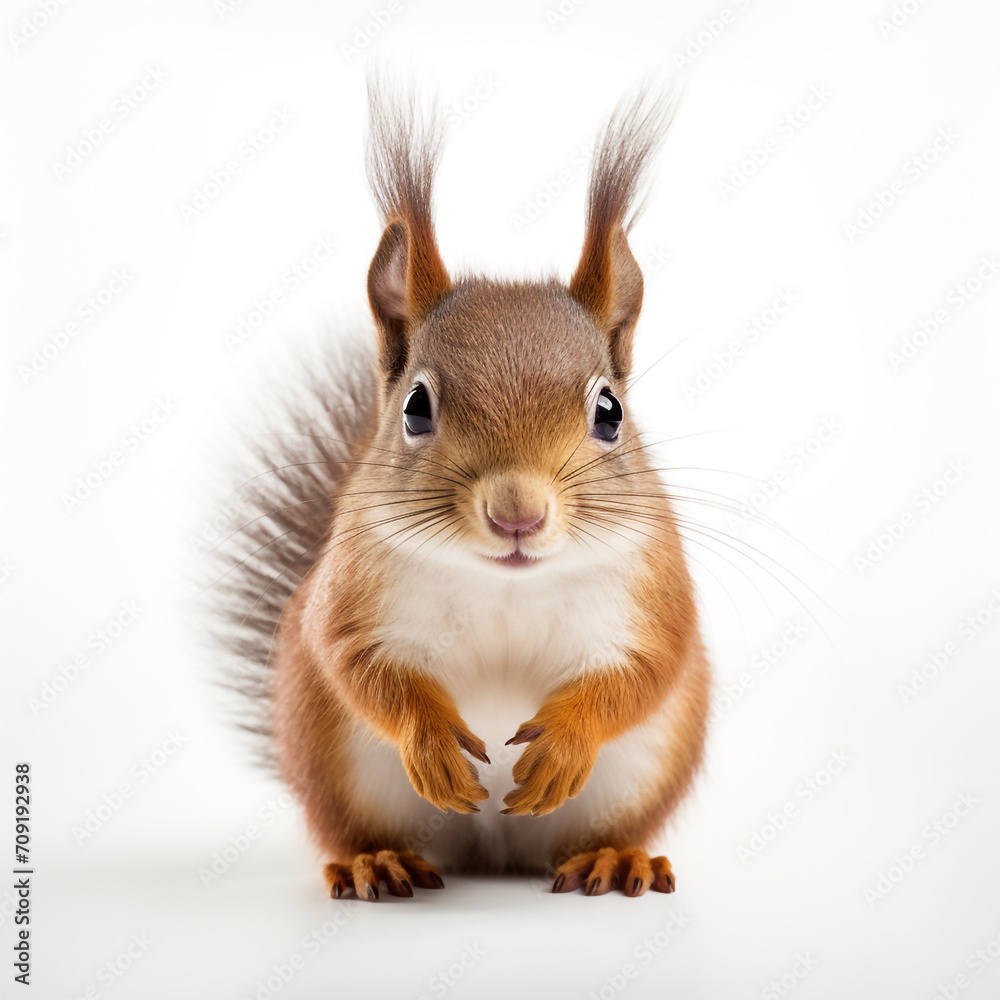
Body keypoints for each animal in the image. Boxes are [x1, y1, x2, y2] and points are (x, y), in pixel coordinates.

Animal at [210, 79, 710, 901]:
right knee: (353, 828)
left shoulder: (654, 592)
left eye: (610, 412)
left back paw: (614, 857)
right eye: (417, 406)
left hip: (642, 773)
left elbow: (646, 671)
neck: (507, 585)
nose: (518, 513)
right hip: (334, 764)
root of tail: (490, 854)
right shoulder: (348, 592)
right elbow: (355, 662)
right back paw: (376, 862)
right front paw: (431, 740)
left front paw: (567, 740)